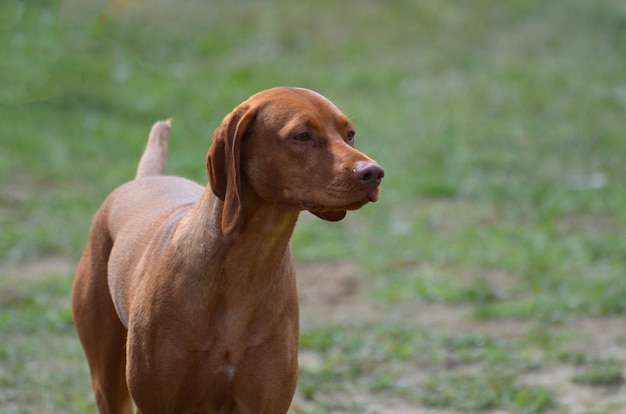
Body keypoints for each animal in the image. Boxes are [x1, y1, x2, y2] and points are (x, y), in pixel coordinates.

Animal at [73, 85, 386, 412]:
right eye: (301, 136)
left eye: (350, 134)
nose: (374, 173)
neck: (249, 261)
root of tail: (147, 178)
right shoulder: (155, 402)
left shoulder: (266, 402)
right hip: (108, 382)